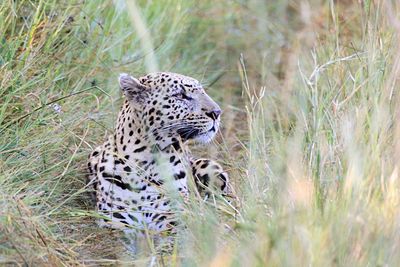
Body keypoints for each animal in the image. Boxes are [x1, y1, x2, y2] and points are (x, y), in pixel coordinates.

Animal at [87, 71, 231, 234]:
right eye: (180, 95)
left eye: (203, 92)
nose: (217, 112)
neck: (144, 160)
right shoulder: (114, 220)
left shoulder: (176, 214)